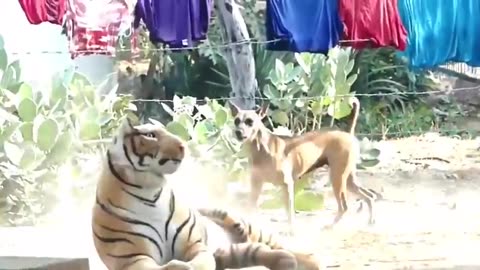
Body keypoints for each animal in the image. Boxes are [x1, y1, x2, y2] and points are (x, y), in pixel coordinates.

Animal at [91, 117, 320, 270]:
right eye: (150, 135)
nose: (183, 145)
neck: (151, 191)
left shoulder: (196, 244)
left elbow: (201, 262)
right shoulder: (132, 257)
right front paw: (177, 267)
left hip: (242, 224)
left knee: (276, 244)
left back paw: (309, 260)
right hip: (229, 249)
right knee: (255, 250)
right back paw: (285, 261)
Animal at [231, 98, 380, 234]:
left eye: (250, 121)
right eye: (236, 121)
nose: (238, 132)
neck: (261, 149)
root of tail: (347, 133)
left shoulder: (287, 185)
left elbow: (289, 212)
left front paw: (291, 230)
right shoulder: (256, 185)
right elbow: (250, 208)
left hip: (337, 179)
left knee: (344, 206)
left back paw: (331, 226)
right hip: (347, 179)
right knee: (369, 196)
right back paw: (371, 221)